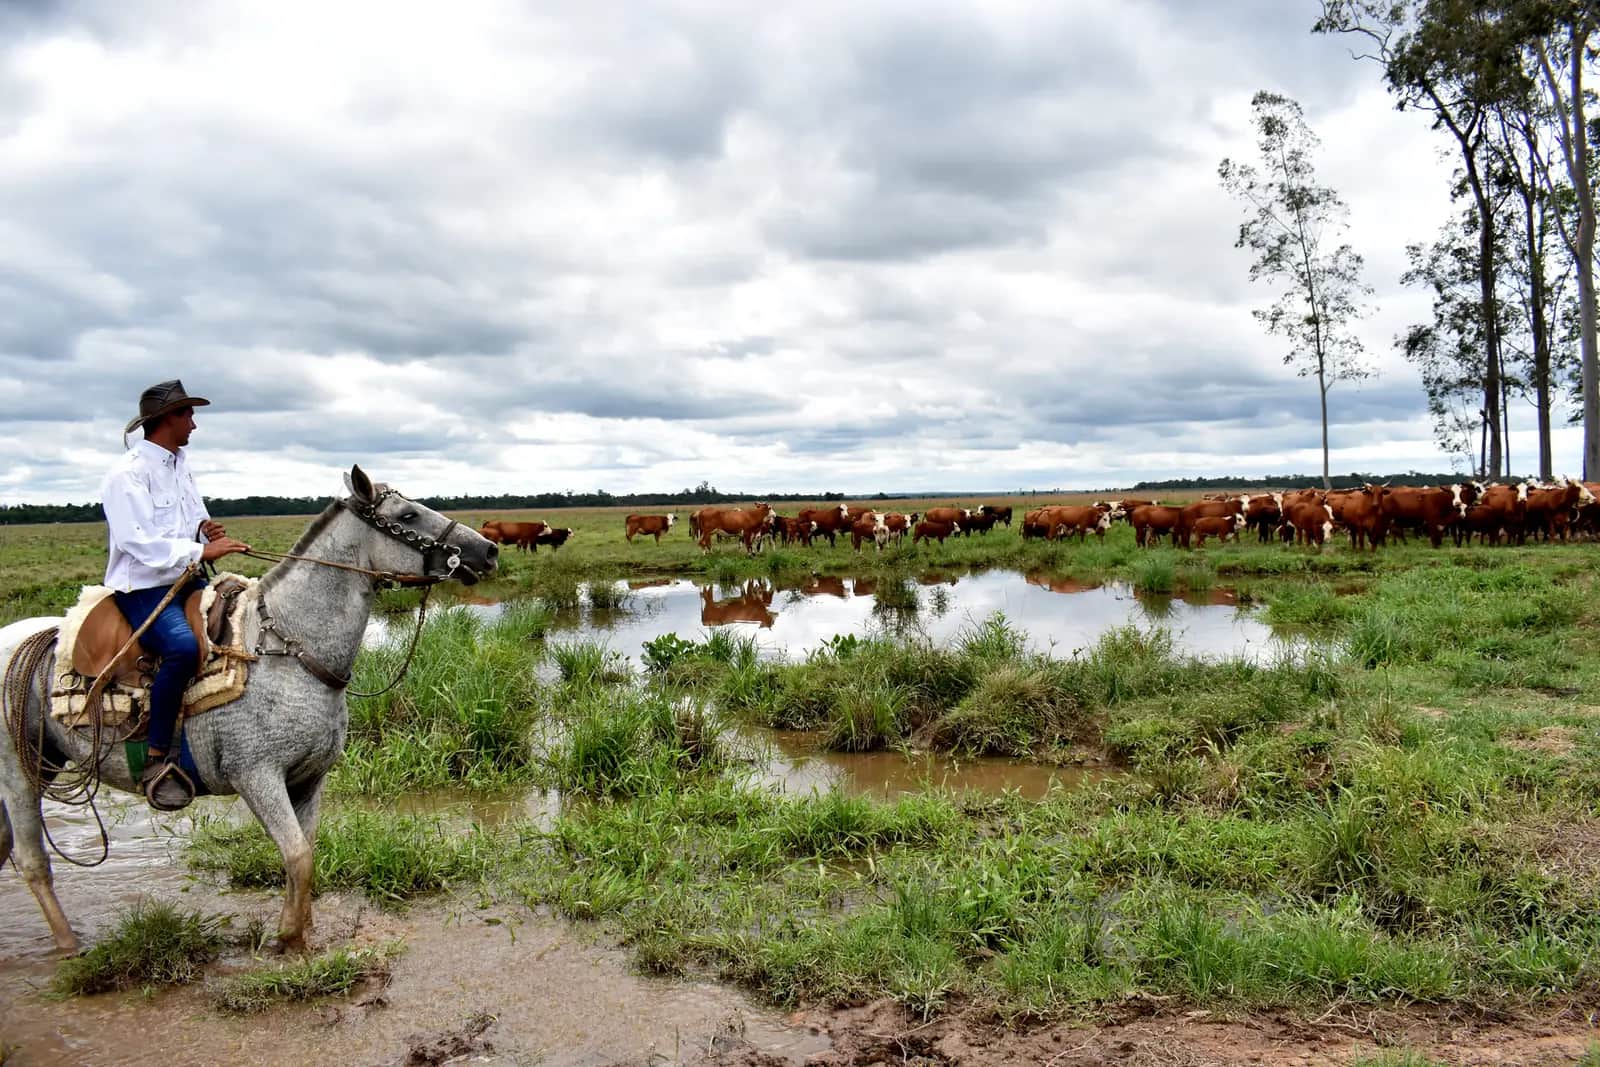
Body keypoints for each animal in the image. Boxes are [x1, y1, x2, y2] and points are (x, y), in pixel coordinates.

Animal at [0, 465, 497, 955]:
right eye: (407, 516)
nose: (488, 550)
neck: (288, 650)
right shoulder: (256, 776)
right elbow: (297, 854)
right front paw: (287, 938)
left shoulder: (309, 778)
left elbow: (305, 854)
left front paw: (302, 931)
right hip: (20, 774)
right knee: (31, 858)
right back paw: (69, 945)